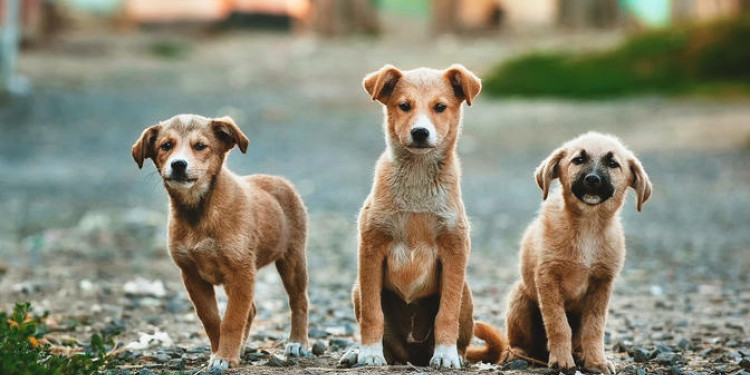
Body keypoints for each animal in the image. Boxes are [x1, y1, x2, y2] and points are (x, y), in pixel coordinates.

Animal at [131, 114, 310, 370]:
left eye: (200, 146)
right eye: (166, 146)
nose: (178, 164)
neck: (198, 212)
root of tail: (280, 180)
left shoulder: (241, 271)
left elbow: (233, 319)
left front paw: (225, 356)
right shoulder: (192, 275)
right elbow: (212, 319)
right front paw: (220, 352)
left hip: (292, 259)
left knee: (299, 301)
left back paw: (298, 342)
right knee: (252, 310)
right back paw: (242, 347)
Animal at [346, 64, 484, 370]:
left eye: (440, 107)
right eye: (404, 106)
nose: (420, 132)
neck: (418, 180)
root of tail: (412, 355)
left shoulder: (455, 249)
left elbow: (446, 313)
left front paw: (446, 354)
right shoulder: (371, 248)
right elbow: (373, 314)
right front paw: (369, 353)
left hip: (466, 293)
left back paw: (455, 354)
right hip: (357, 289)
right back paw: (357, 353)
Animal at [470, 132, 652, 374]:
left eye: (613, 164)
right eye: (578, 160)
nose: (592, 179)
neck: (588, 227)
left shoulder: (602, 283)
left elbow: (594, 328)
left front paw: (597, 361)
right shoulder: (547, 278)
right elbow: (558, 324)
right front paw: (561, 360)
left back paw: (580, 355)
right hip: (520, 298)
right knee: (516, 343)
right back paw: (517, 355)